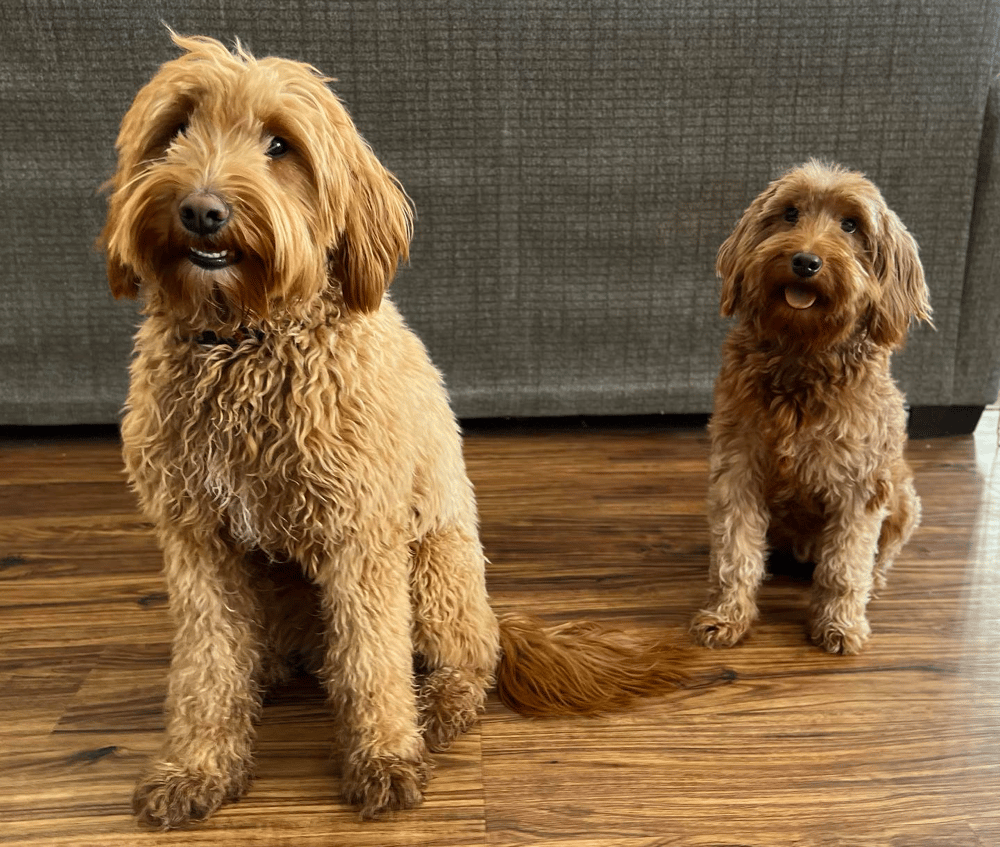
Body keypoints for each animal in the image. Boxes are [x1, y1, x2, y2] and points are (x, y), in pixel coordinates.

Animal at [99, 36, 688, 832]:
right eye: (176, 131)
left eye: (280, 145)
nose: (200, 209)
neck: (246, 341)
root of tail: (497, 615)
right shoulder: (196, 539)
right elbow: (206, 663)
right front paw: (195, 766)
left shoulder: (362, 532)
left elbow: (373, 657)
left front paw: (383, 758)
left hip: (435, 567)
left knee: (465, 661)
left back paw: (437, 705)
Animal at [692, 162, 932, 660]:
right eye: (790, 213)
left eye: (850, 225)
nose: (805, 261)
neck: (803, 352)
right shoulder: (737, 466)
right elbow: (734, 553)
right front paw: (726, 616)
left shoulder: (861, 487)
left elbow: (846, 565)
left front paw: (839, 626)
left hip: (902, 497)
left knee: (880, 556)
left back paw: (876, 584)